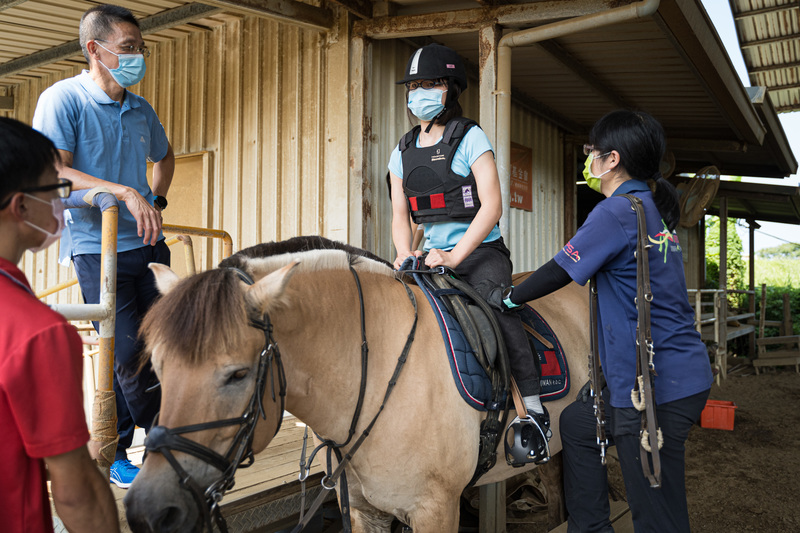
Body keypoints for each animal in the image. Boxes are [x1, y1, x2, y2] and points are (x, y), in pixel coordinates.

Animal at [123, 238, 588, 532]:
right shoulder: (367, 511)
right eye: (160, 370)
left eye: (238, 374)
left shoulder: (436, 510)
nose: (148, 510)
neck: (380, 368)